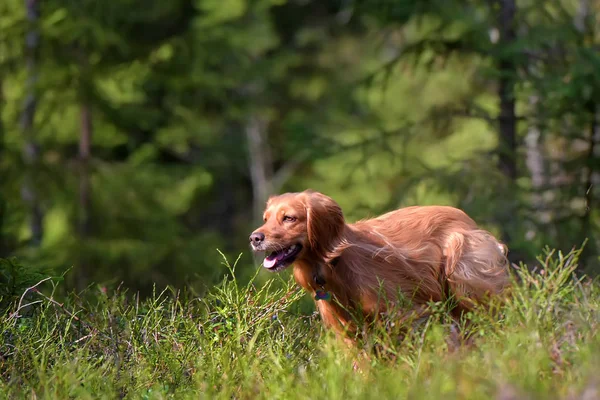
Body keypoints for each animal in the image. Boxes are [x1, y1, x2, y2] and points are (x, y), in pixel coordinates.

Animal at [250, 189, 510, 340]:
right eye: (266, 219)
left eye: (289, 218)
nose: (254, 238)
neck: (334, 264)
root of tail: (467, 219)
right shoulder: (350, 333)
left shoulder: (404, 315)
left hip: (463, 281)